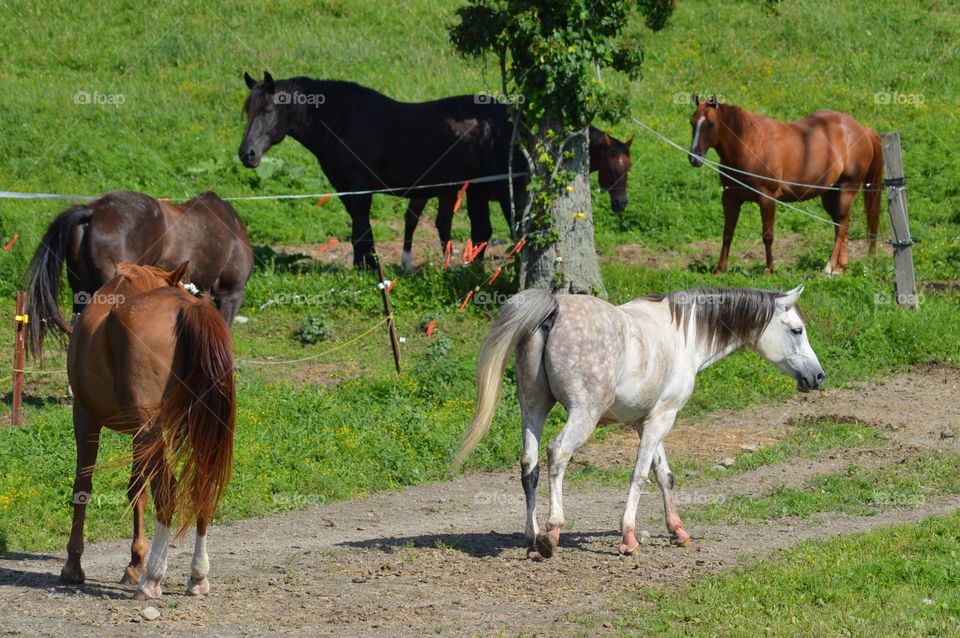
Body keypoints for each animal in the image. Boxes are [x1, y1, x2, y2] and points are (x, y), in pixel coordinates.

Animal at [62, 262, 234, 604]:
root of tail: (187, 310)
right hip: (186, 432)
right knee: (202, 486)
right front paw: (134, 562)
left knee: (167, 490)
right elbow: (136, 490)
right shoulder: (140, 433)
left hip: (148, 431)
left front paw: (73, 564)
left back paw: (153, 579)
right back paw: (197, 576)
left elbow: (83, 486)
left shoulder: (85, 417)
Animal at [456, 286, 824, 560]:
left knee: (529, 465)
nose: (818, 377)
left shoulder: (647, 421)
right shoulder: (662, 419)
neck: (683, 335)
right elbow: (640, 475)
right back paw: (552, 531)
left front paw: (678, 531)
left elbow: (664, 475)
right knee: (557, 454)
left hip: (533, 408)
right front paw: (629, 537)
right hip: (583, 414)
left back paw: (532, 538)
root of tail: (554, 309)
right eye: (797, 330)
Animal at [688, 96, 880, 276]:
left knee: (840, 227)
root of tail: (863, 130)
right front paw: (720, 269)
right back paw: (840, 266)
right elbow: (727, 233)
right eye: (692, 122)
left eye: (711, 124)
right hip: (830, 194)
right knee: (842, 224)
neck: (750, 145)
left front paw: (769, 270)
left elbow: (767, 236)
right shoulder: (730, 198)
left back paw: (829, 267)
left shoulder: (767, 198)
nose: (694, 157)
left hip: (847, 190)